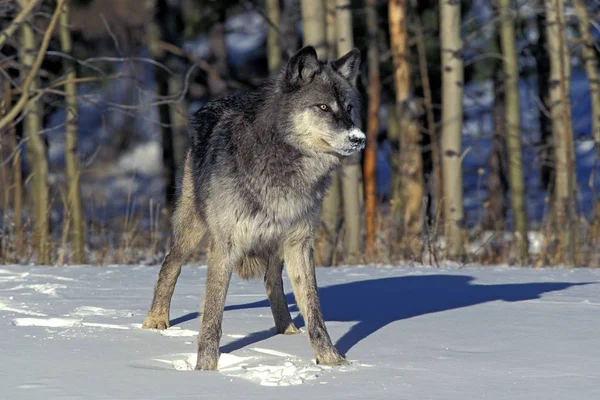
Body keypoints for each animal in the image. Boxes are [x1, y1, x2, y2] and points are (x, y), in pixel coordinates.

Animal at [142, 45, 366, 370]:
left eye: (349, 108)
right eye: (323, 107)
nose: (358, 139)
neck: (284, 165)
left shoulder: (300, 243)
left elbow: (314, 311)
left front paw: (332, 361)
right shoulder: (224, 245)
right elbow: (212, 316)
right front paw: (205, 369)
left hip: (275, 244)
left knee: (272, 280)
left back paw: (286, 329)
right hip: (192, 229)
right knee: (169, 265)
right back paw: (156, 322)